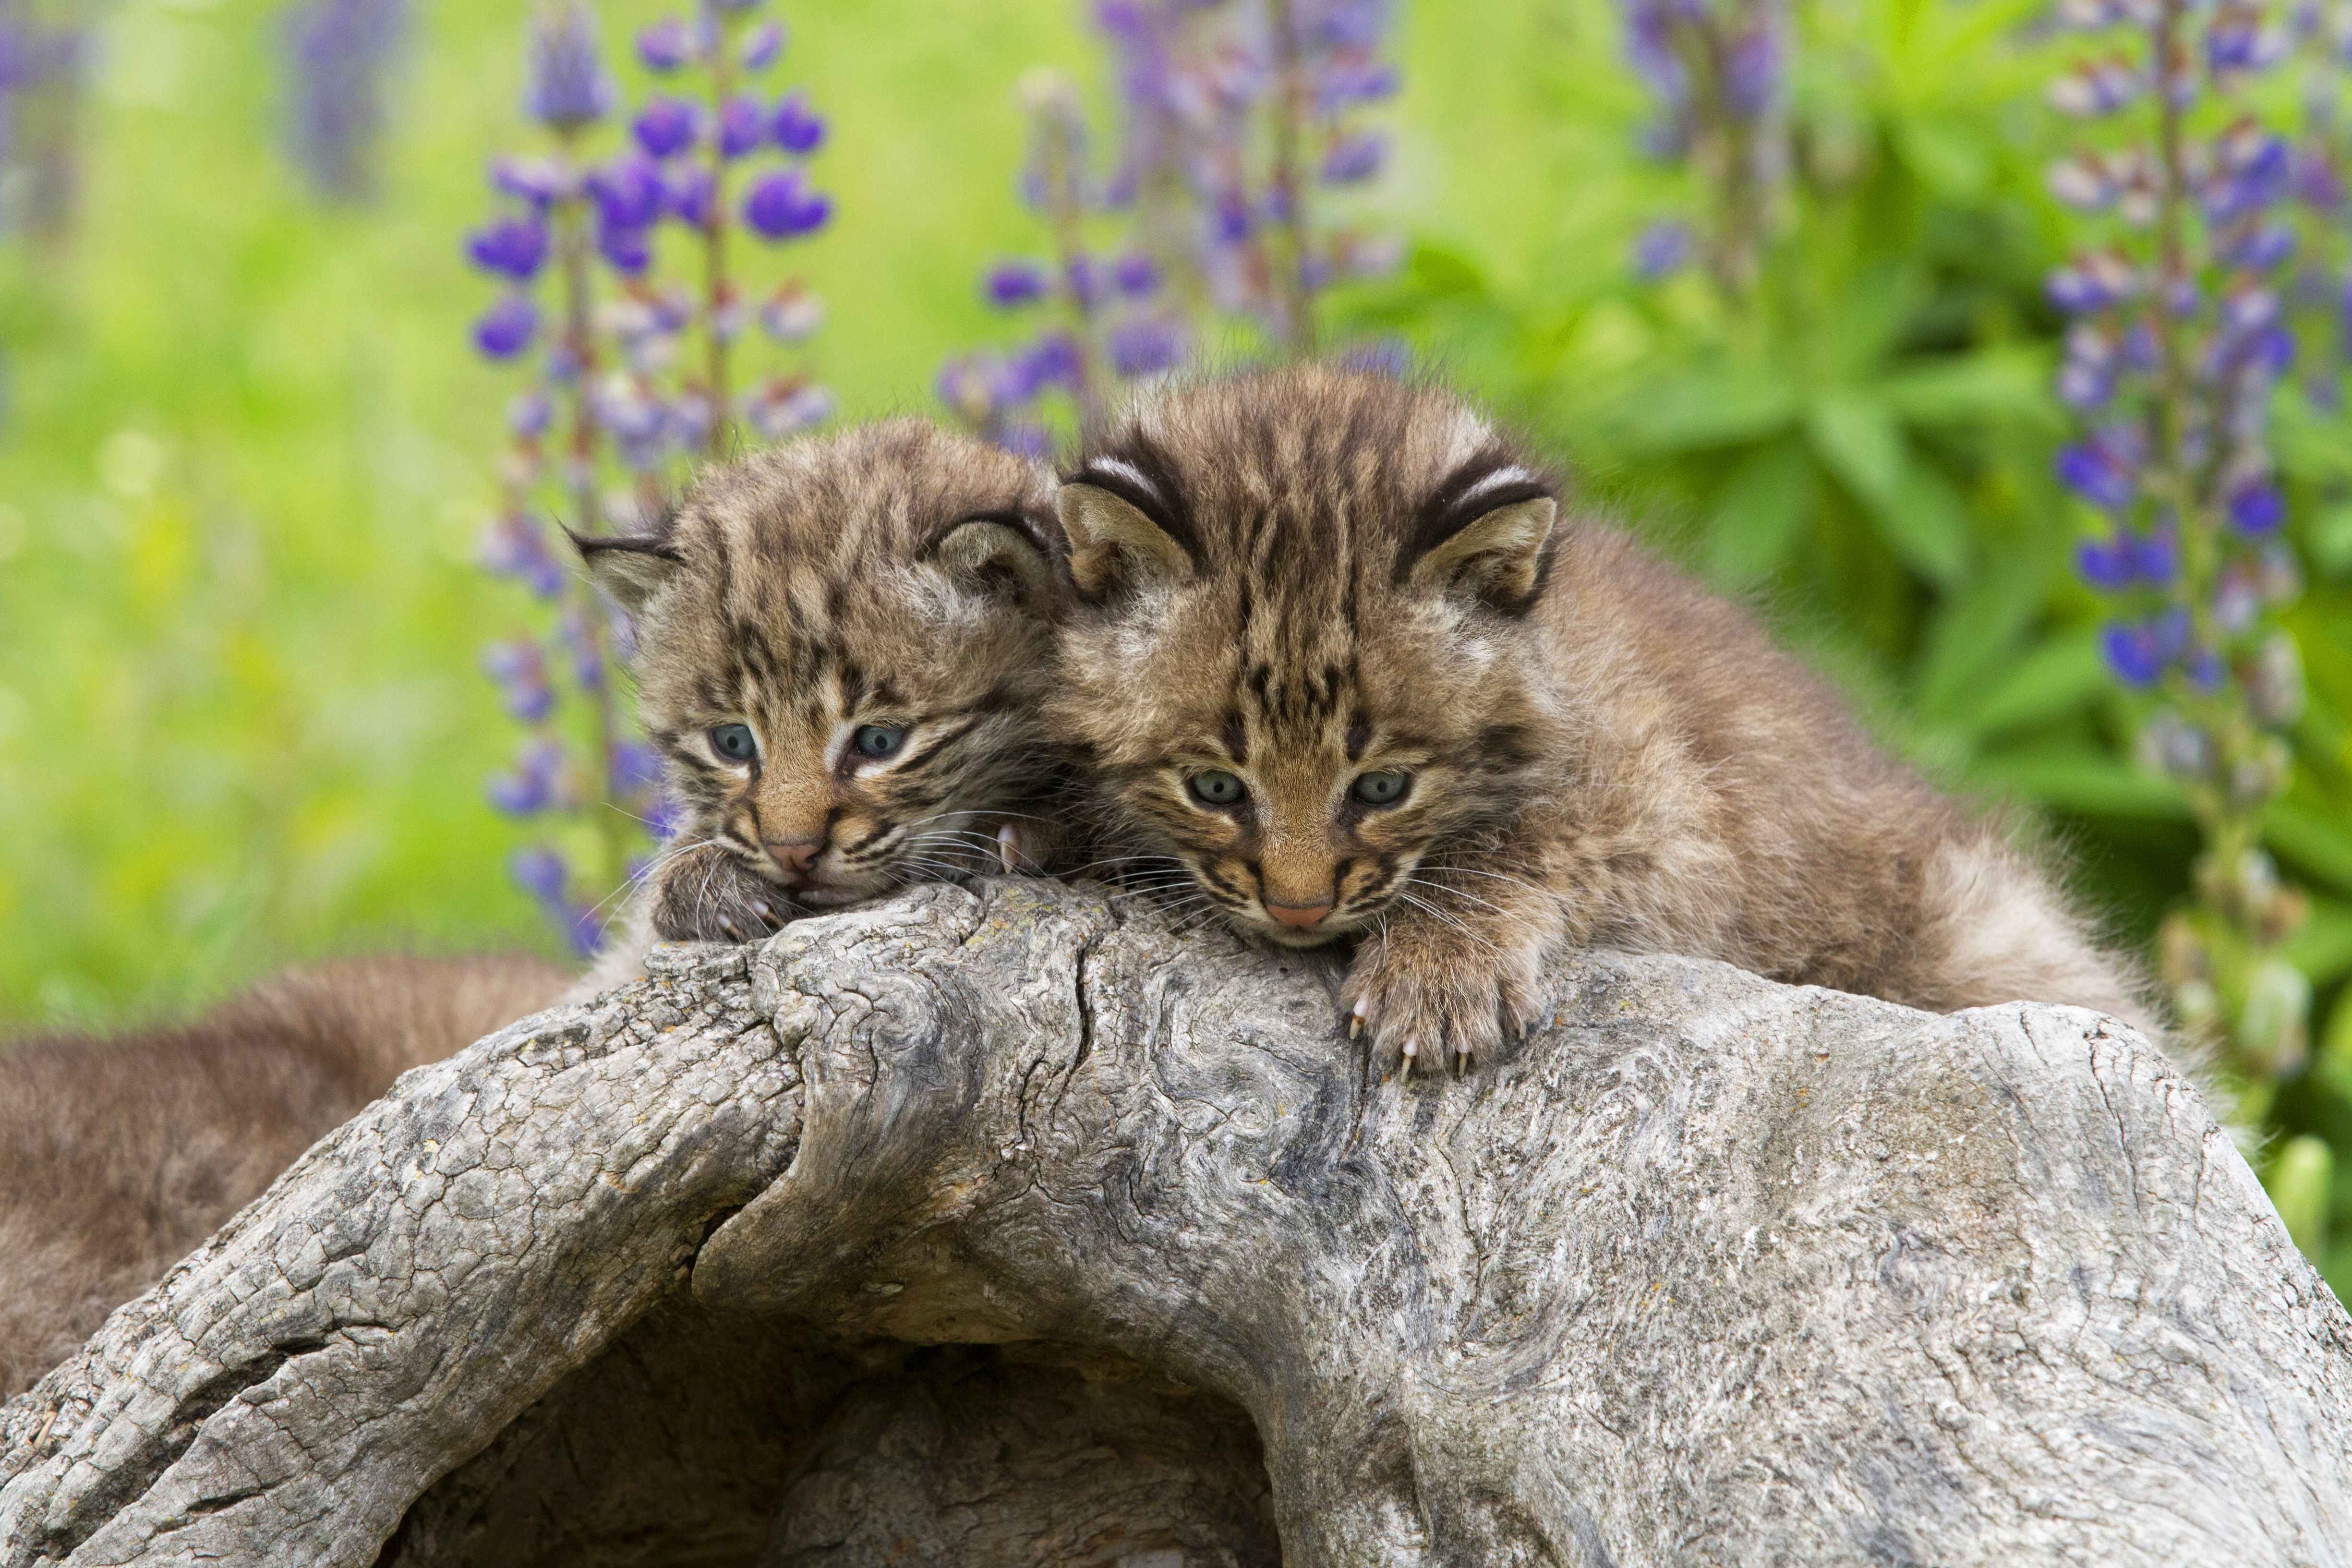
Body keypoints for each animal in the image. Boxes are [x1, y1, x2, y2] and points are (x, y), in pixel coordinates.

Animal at [1058, 366, 2154, 1072]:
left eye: (1381, 787)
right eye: (1214, 786)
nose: (1296, 910)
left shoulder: (1677, 819)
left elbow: (1519, 837)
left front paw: (1437, 969)